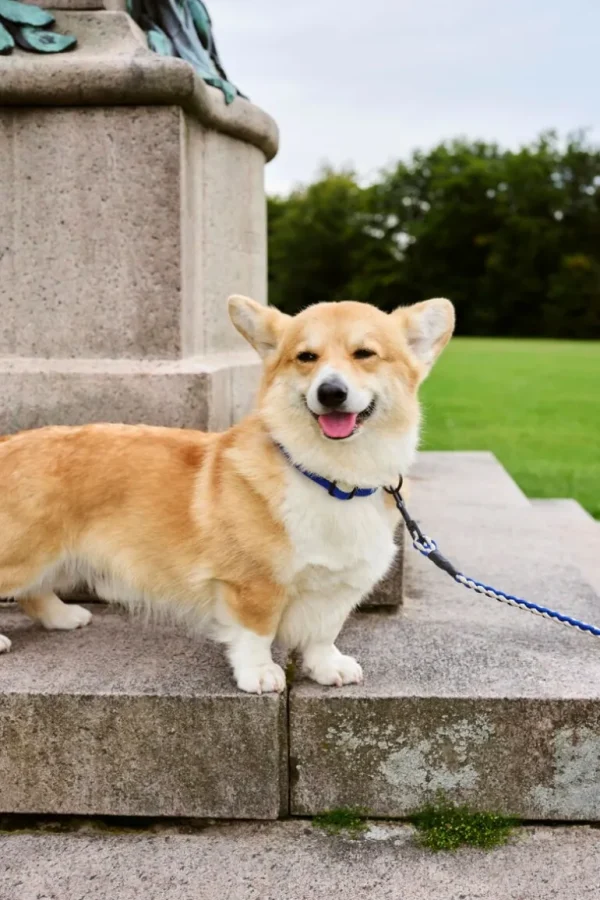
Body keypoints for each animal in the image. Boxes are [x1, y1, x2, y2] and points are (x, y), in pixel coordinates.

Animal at [0, 294, 452, 688]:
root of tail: (6, 443)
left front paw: (328, 667)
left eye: (365, 354)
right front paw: (260, 675)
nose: (330, 392)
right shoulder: (251, 585)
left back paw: (63, 617)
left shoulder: (339, 587)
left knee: (34, 595)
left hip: (55, 559)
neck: (331, 477)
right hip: (26, 556)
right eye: (306, 357)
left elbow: (324, 632)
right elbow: (257, 633)